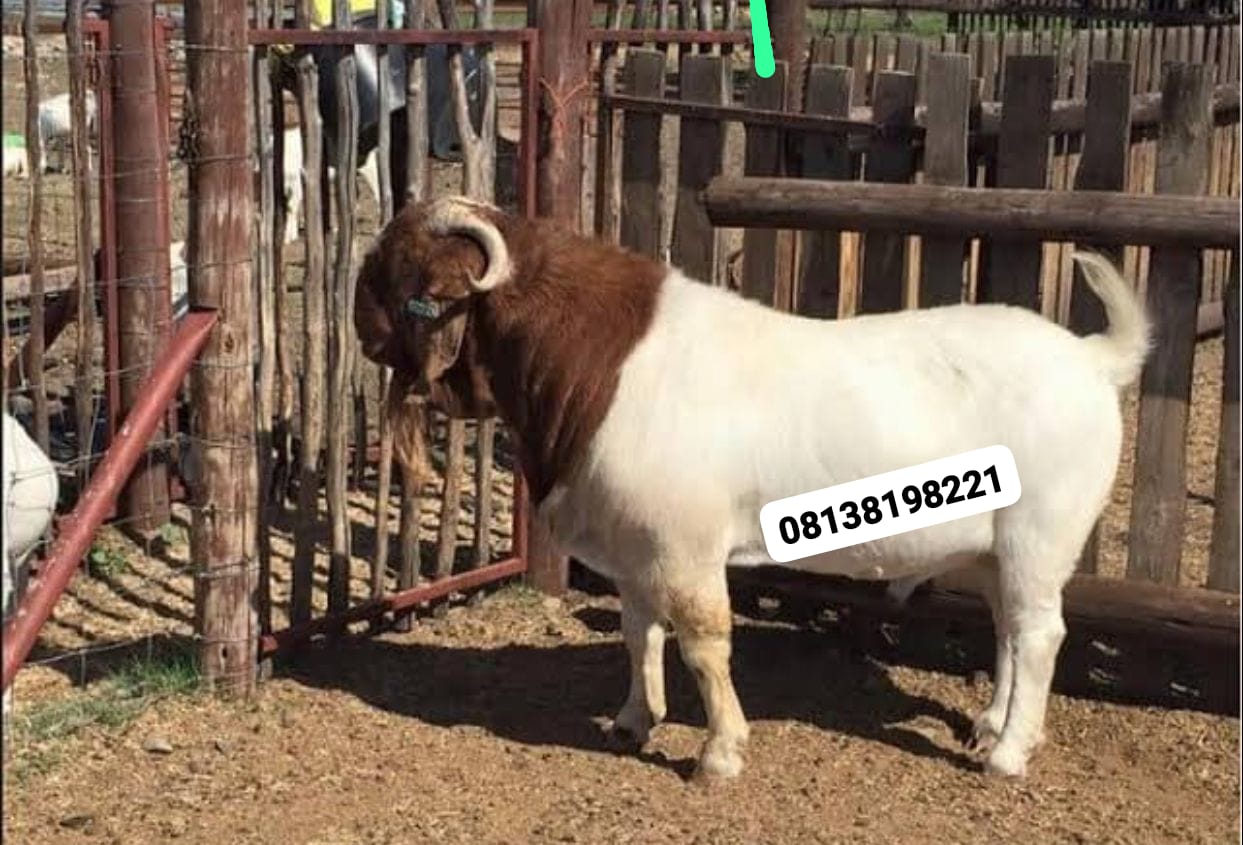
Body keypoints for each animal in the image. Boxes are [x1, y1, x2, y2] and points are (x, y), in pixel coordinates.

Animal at [353, 196, 1151, 783]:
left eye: (398, 267)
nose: (359, 326)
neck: (600, 364)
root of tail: (1093, 358)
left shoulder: (686, 548)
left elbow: (705, 645)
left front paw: (719, 754)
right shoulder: (637, 547)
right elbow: (639, 634)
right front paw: (632, 721)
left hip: (1040, 533)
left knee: (1041, 635)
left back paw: (1008, 755)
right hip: (997, 550)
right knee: (1012, 631)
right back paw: (992, 723)